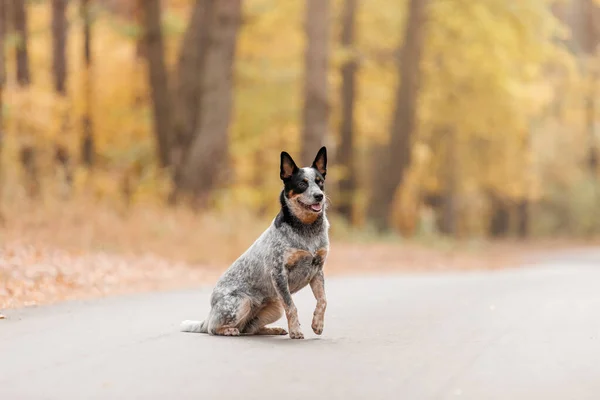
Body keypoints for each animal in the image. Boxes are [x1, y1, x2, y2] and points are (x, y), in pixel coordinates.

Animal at [180, 147, 330, 340]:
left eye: (320, 182)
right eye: (302, 184)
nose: (319, 196)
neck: (307, 229)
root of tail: (208, 315)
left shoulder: (317, 269)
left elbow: (323, 300)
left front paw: (317, 324)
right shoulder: (278, 273)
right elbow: (291, 306)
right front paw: (296, 331)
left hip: (275, 306)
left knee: (249, 328)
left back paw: (273, 330)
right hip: (241, 302)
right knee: (214, 328)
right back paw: (229, 330)